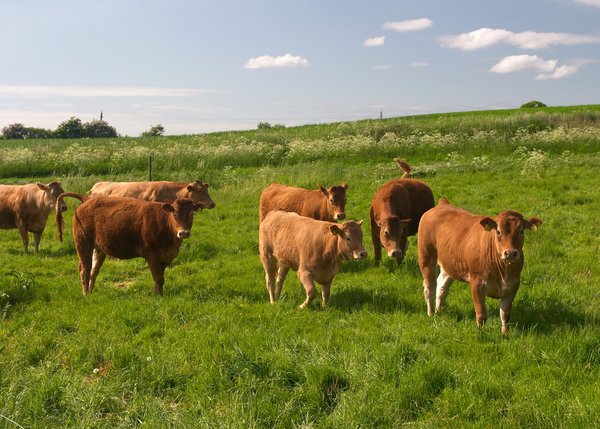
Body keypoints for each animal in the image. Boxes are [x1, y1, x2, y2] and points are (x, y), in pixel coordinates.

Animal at [56, 193, 206, 296]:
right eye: (175, 214)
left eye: (192, 214)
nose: (184, 233)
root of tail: (87, 199)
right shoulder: (152, 255)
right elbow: (158, 278)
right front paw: (158, 297)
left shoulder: (165, 258)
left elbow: (160, 278)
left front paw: (158, 293)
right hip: (83, 244)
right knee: (85, 270)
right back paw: (86, 294)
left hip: (98, 249)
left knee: (94, 270)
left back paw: (91, 291)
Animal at [420, 197, 540, 334]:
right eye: (498, 231)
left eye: (521, 231)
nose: (510, 253)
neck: (503, 272)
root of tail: (443, 204)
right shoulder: (477, 284)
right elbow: (482, 314)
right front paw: (481, 333)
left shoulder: (513, 285)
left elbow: (505, 314)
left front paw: (505, 333)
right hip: (426, 257)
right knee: (429, 287)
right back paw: (431, 313)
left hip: (450, 264)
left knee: (442, 286)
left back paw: (439, 310)